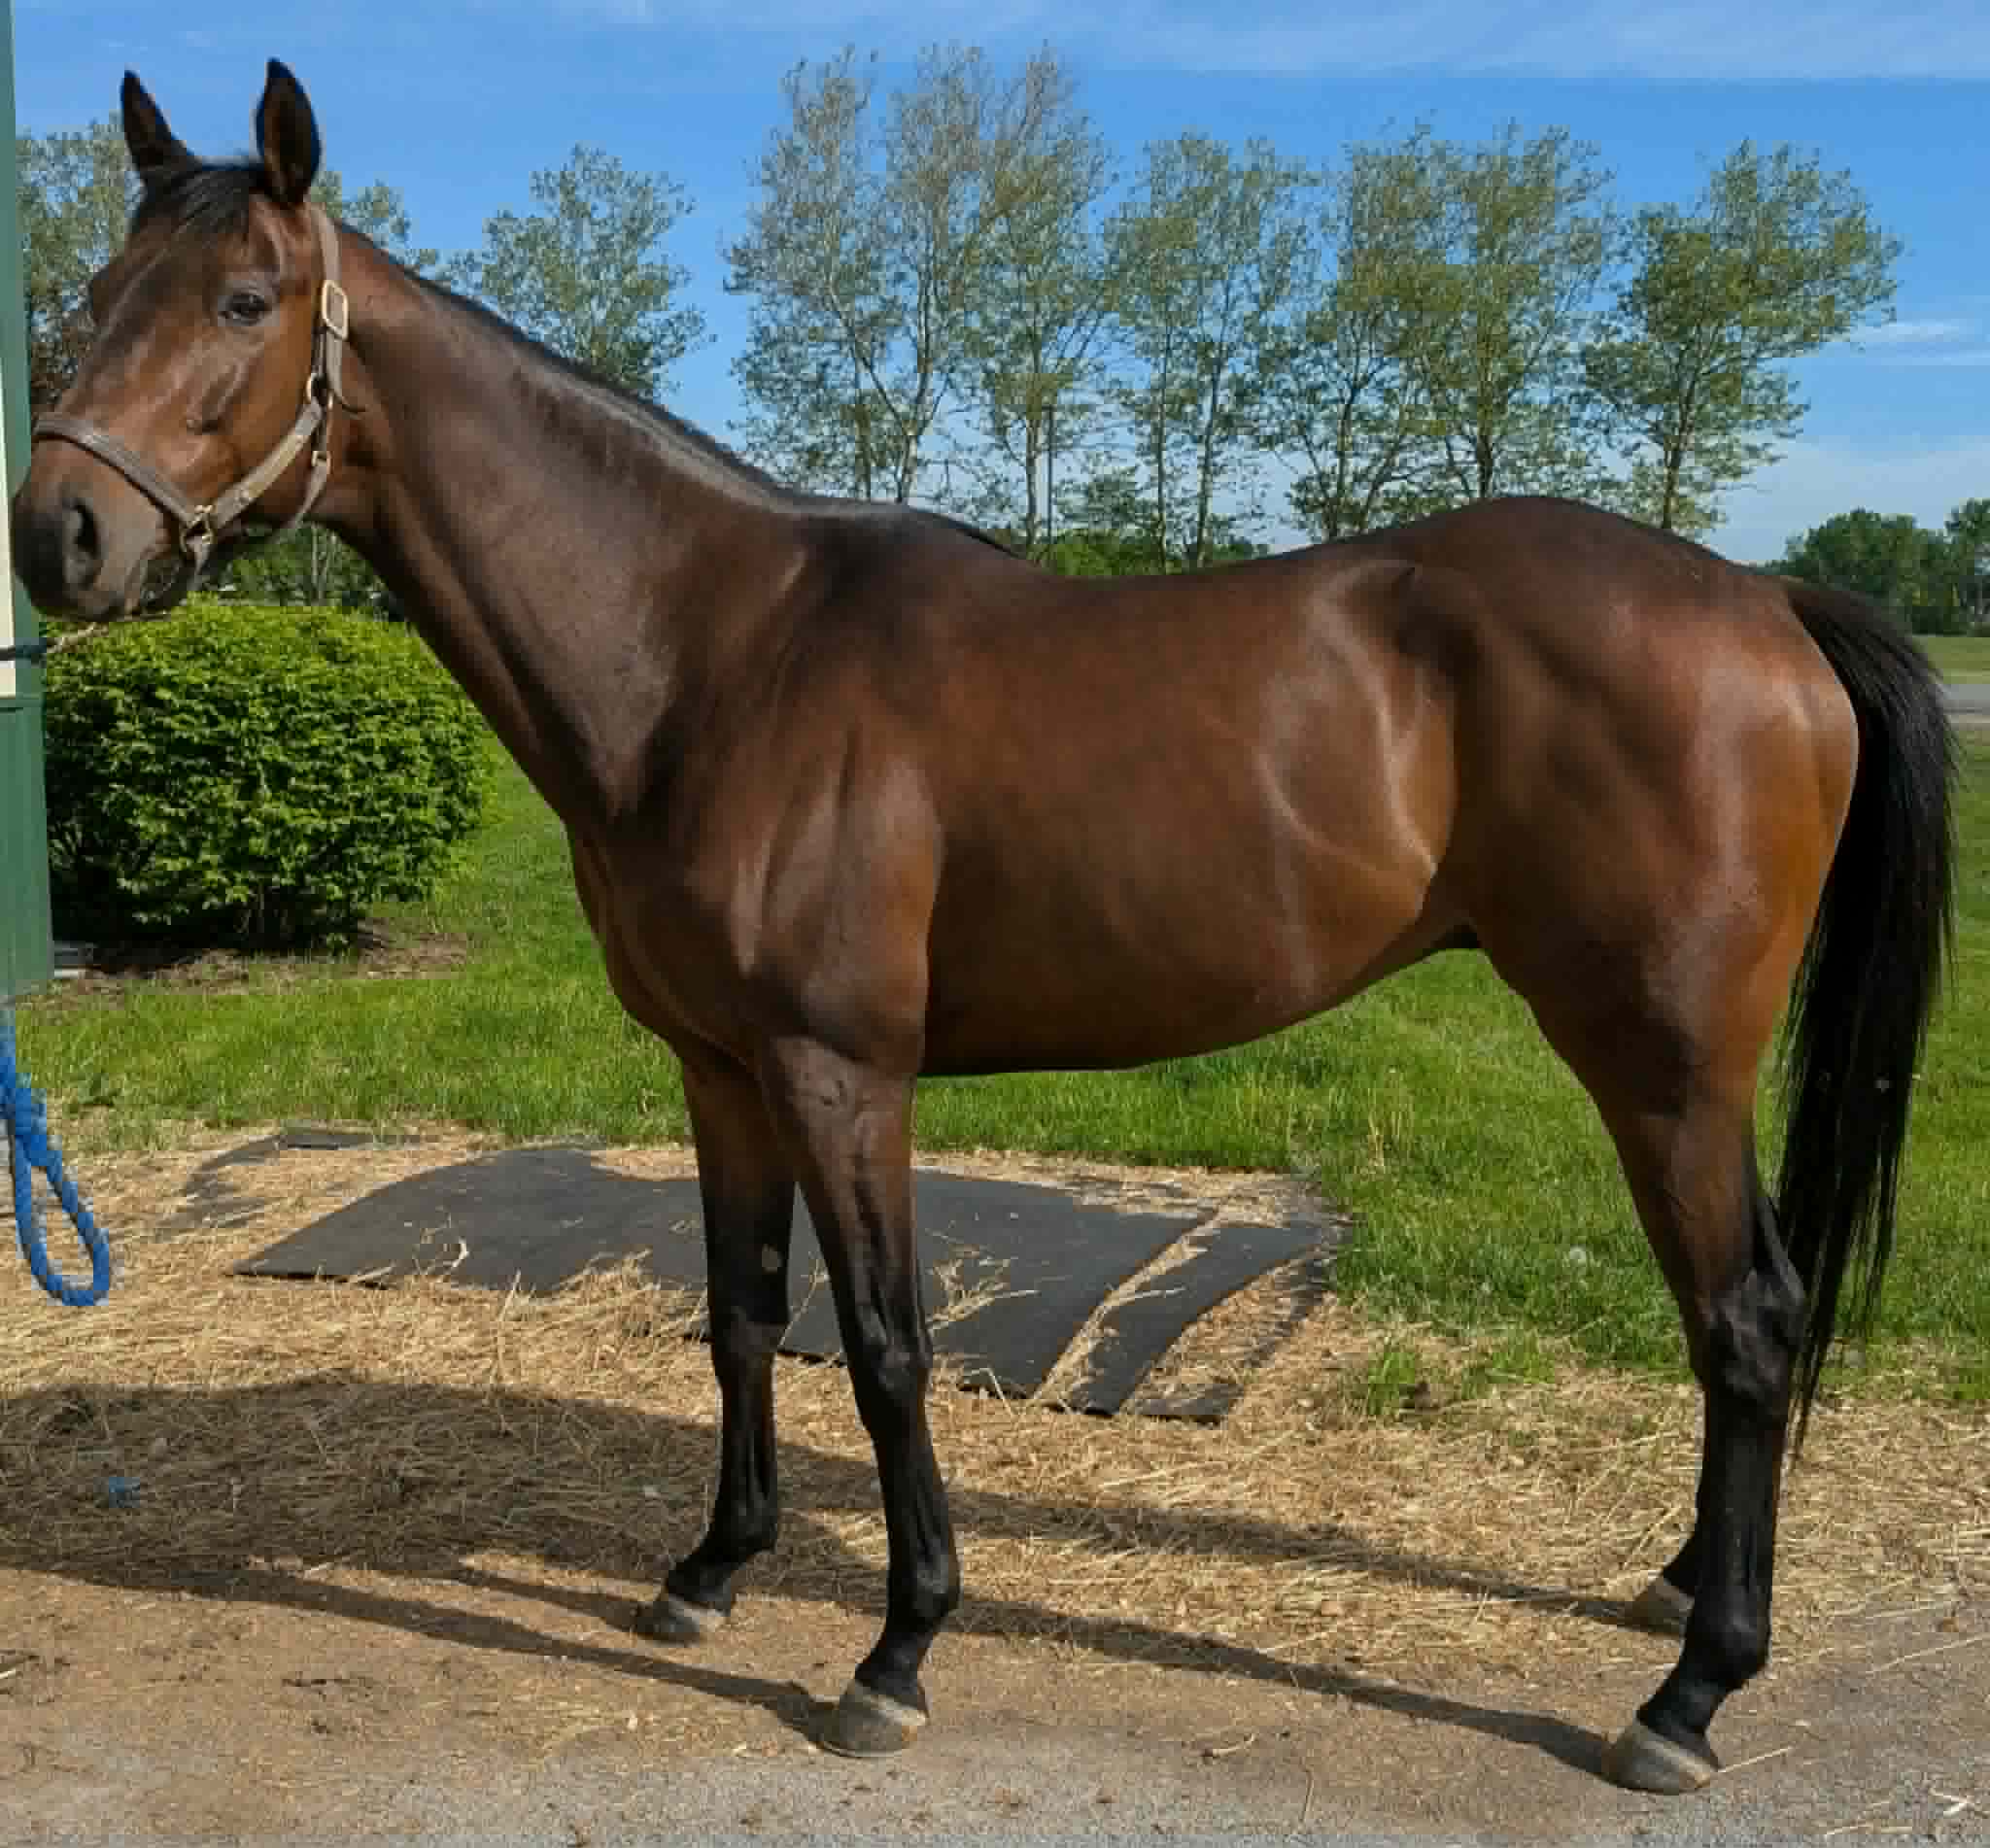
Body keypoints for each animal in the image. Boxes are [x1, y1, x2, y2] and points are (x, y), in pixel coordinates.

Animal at [10, 62, 1955, 1794]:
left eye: (244, 299)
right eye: (96, 297)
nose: (60, 535)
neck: (714, 652)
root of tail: (1764, 598)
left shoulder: (841, 1069)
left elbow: (882, 1344)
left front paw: (898, 1645)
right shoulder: (720, 1070)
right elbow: (740, 1314)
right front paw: (710, 1572)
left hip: (1662, 1063)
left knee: (1744, 1320)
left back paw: (1691, 1692)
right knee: (1738, 1321)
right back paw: (1682, 1596)